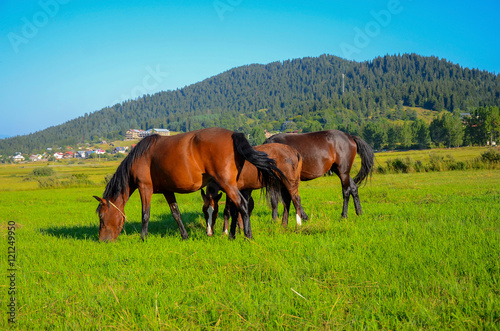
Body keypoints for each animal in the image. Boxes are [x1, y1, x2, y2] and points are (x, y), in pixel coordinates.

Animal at [93, 127, 286, 241]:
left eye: (101, 217)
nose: (102, 240)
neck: (142, 156)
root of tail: (233, 134)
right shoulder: (167, 191)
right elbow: (176, 213)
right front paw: (184, 236)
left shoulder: (144, 188)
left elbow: (145, 214)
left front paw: (143, 238)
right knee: (236, 208)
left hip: (227, 184)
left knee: (243, 206)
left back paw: (248, 236)